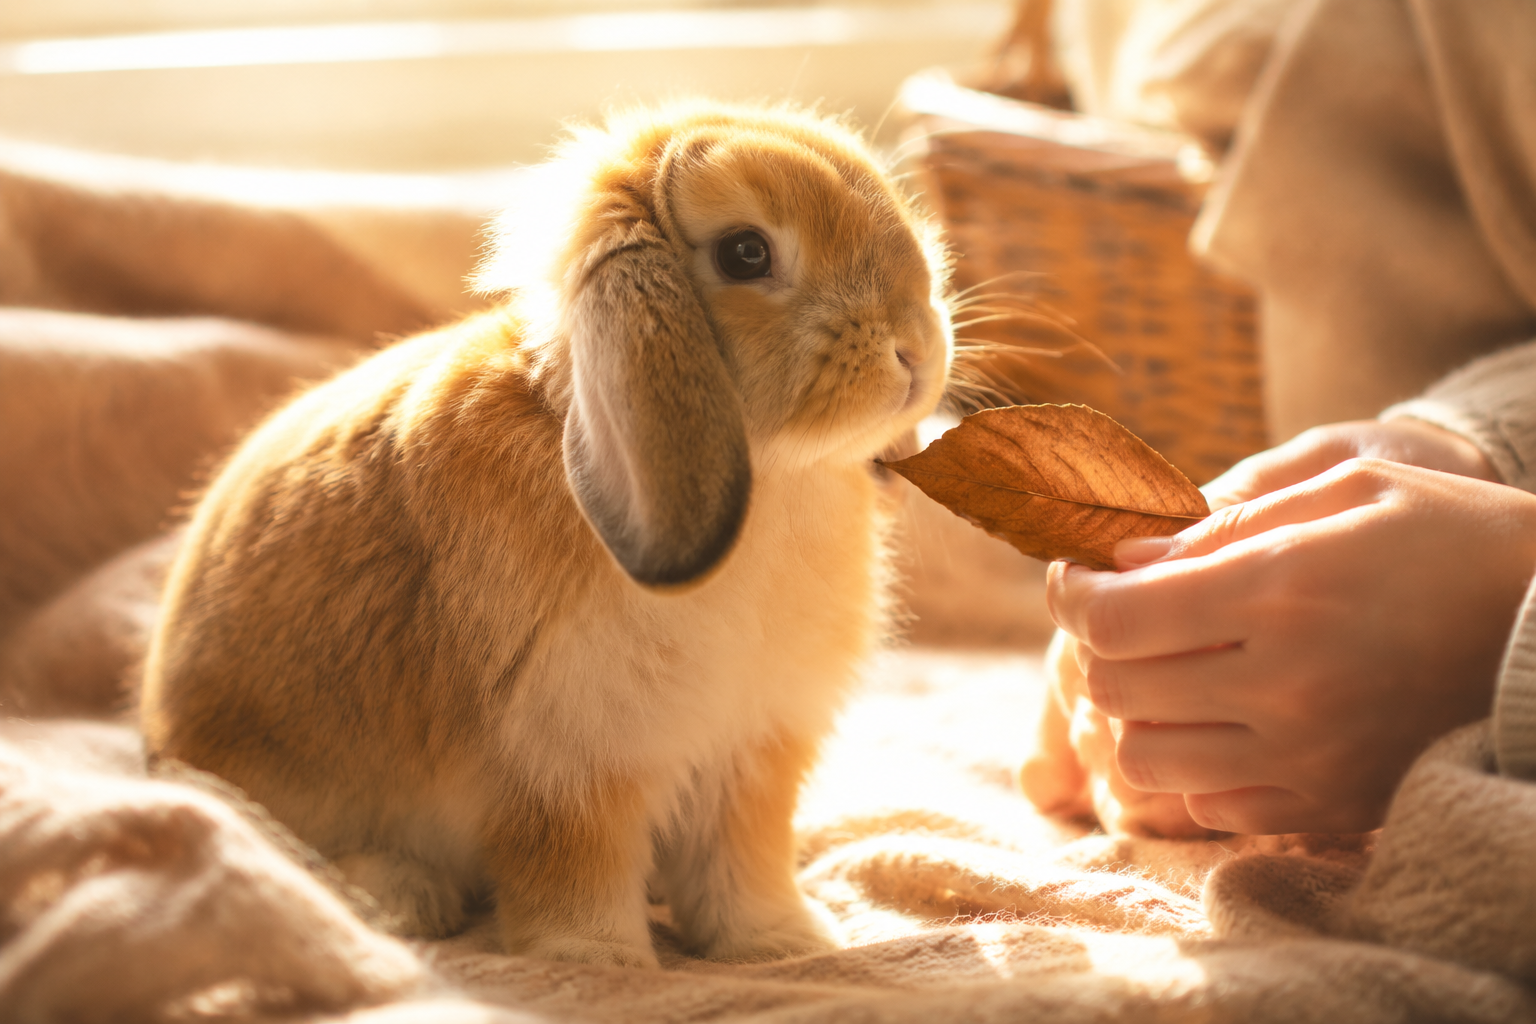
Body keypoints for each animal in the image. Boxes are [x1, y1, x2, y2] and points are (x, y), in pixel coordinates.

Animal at [139, 102, 953, 968]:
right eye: (746, 252)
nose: (916, 346)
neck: (774, 477)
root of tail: (157, 741)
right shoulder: (565, 761)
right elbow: (575, 866)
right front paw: (598, 961)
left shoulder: (750, 754)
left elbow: (741, 865)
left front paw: (785, 945)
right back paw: (404, 899)